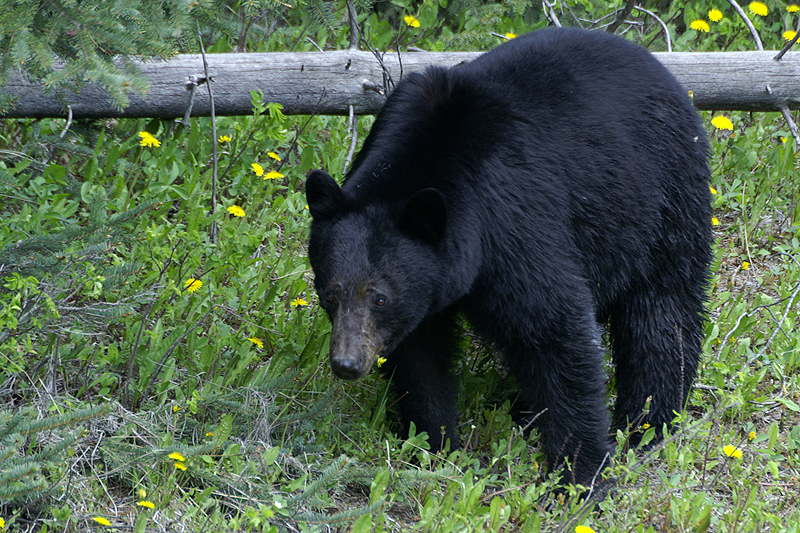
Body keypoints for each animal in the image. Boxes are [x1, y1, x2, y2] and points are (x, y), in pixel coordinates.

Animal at [304, 27, 708, 484]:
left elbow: (556, 329)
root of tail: (660, 68)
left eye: (379, 297)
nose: (346, 363)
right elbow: (419, 357)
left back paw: (646, 423)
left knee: (662, 311)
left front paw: (579, 475)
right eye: (329, 293)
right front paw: (434, 445)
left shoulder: (513, 224)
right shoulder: (425, 292)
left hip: (661, 199)